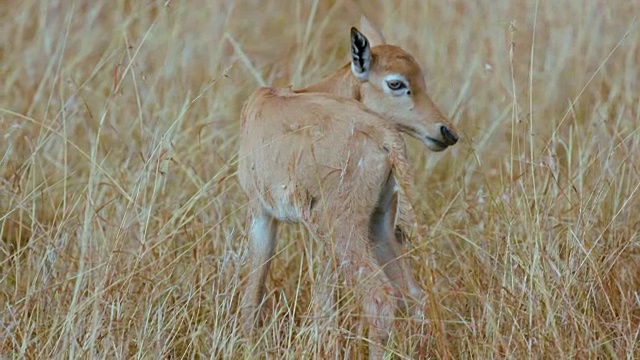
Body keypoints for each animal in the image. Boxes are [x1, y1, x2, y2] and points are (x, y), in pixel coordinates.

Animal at [238, 18, 458, 358]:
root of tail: (384, 134)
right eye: (397, 83)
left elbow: (254, 292)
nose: (446, 132)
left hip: (343, 229)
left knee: (380, 298)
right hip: (375, 227)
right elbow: (324, 304)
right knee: (414, 295)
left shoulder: (261, 214)